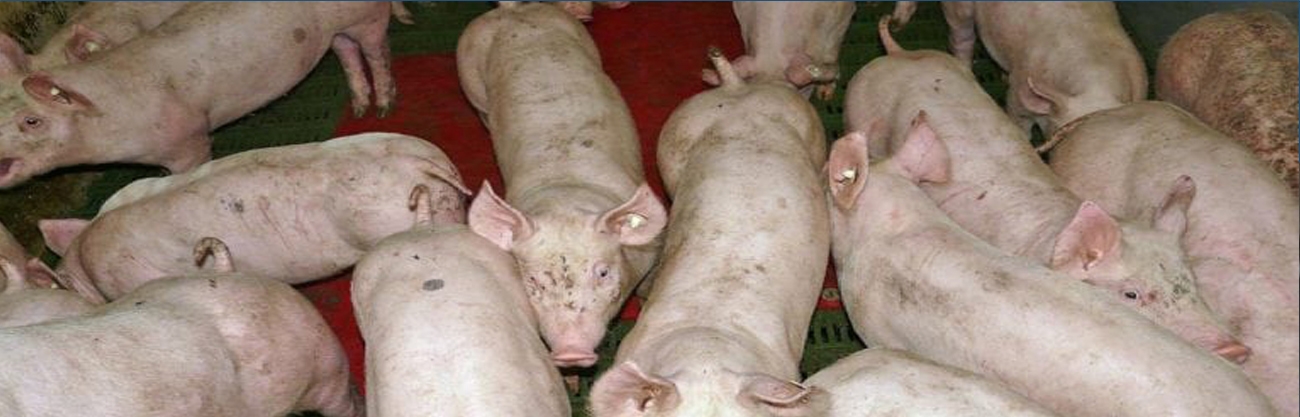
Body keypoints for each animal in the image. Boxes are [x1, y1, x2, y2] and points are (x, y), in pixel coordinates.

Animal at [0, 2, 397, 189]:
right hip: (337, 30)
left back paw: (383, 108)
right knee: (346, 50)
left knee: (376, 50)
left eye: (31, 121)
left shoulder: (188, 139)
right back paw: (359, 108)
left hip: (367, 18)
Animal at [457, 3, 667, 368]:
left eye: (602, 272)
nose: (571, 351)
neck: (566, 197)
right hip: (470, 76)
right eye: (532, 280)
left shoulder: (652, 248)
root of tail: (513, 12)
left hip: (578, 34)